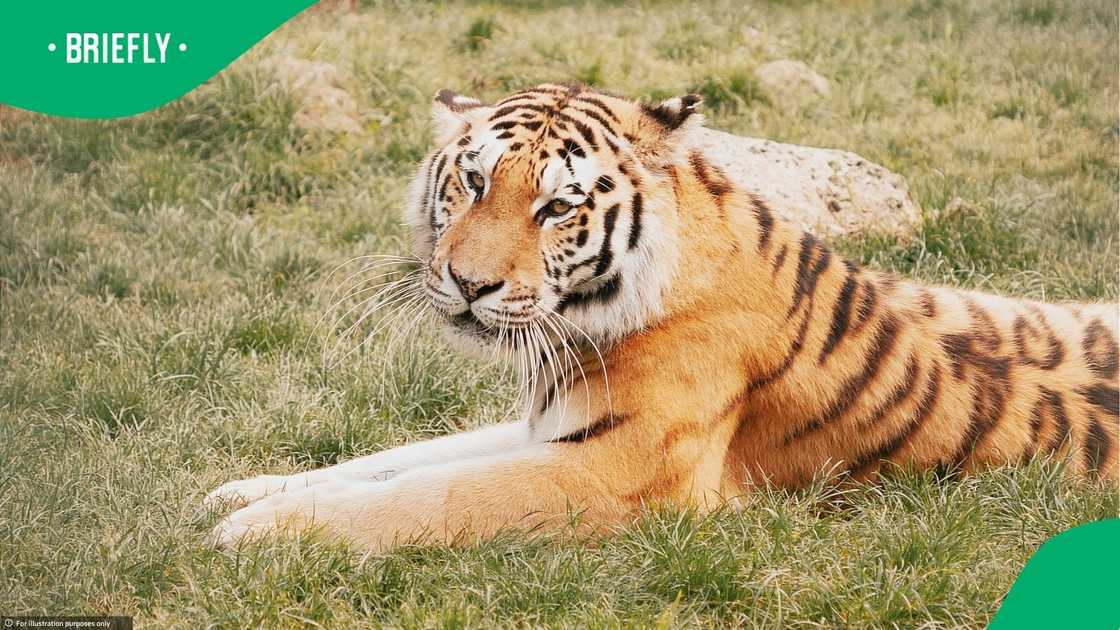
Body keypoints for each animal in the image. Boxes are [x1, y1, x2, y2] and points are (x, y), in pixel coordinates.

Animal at [205, 83, 1119, 551]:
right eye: (473, 181)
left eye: (557, 206)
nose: (467, 284)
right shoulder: (551, 422)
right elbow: (400, 459)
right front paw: (242, 490)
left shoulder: (619, 467)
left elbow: (434, 495)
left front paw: (258, 530)